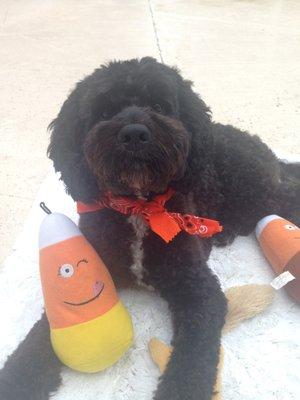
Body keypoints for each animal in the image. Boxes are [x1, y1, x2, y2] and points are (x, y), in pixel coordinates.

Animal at [1, 57, 298, 400]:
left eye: (158, 105)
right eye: (105, 111)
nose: (134, 133)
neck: (140, 207)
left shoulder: (198, 289)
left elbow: (193, 357)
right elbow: (42, 333)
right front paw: (18, 378)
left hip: (253, 187)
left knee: (283, 198)